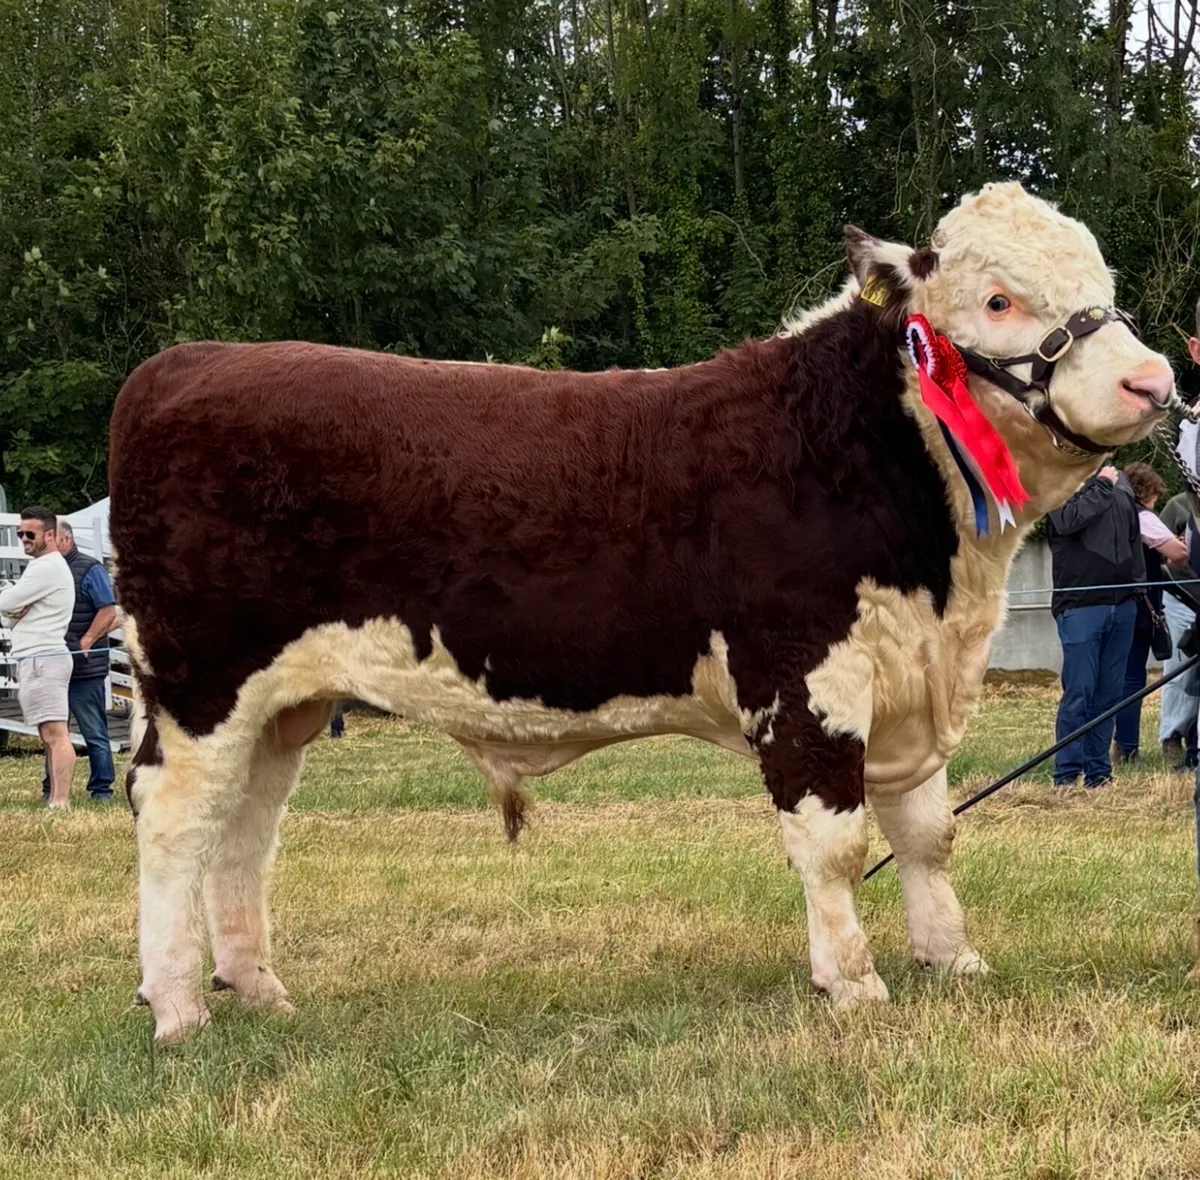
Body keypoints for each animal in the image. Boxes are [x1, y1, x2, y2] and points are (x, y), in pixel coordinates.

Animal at [110, 182, 1175, 1041]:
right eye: (998, 300)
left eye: (1101, 279)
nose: (1154, 380)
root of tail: (182, 365)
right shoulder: (803, 677)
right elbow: (835, 843)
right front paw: (854, 983)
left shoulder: (910, 678)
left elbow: (926, 833)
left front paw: (951, 960)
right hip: (201, 679)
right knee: (176, 817)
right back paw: (179, 1008)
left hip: (281, 701)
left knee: (246, 826)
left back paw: (255, 986)